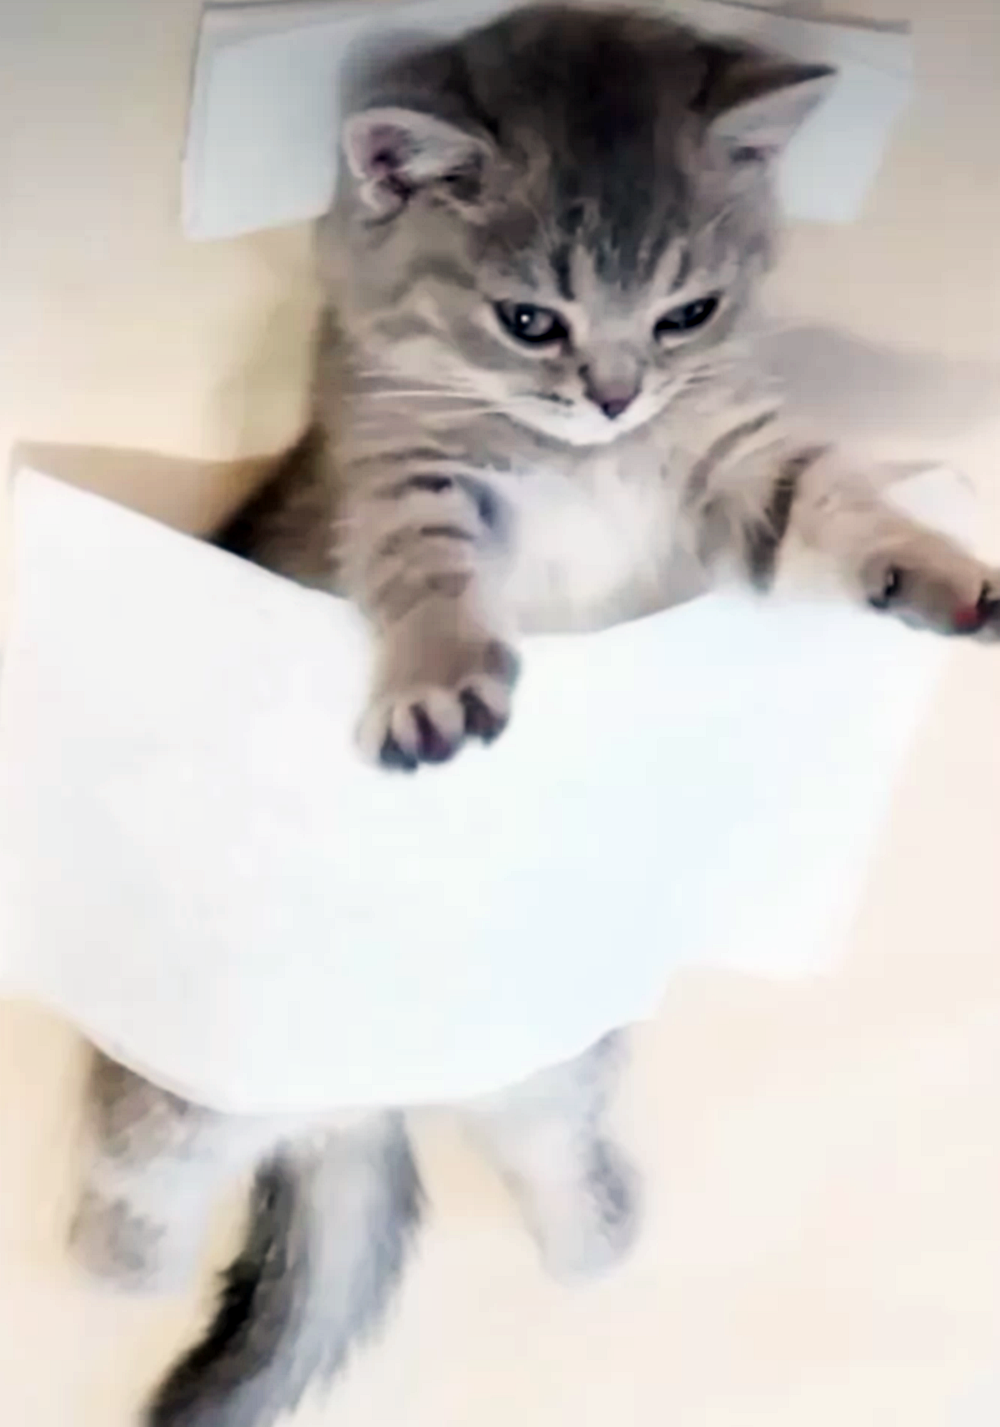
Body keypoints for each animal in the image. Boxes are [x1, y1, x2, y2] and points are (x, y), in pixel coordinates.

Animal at [70, 6, 1000, 1427]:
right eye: (528, 318)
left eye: (686, 312)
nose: (615, 392)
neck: (588, 457)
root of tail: (365, 1096)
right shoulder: (411, 470)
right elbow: (426, 567)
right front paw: (439, 674)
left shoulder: (739, 469)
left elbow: (839, 512)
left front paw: (939, 572)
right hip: (188, 1089)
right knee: (138, 1171)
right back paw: (112, 1266)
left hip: (553, 1065)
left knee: (550, 1153)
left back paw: (597, 1240)